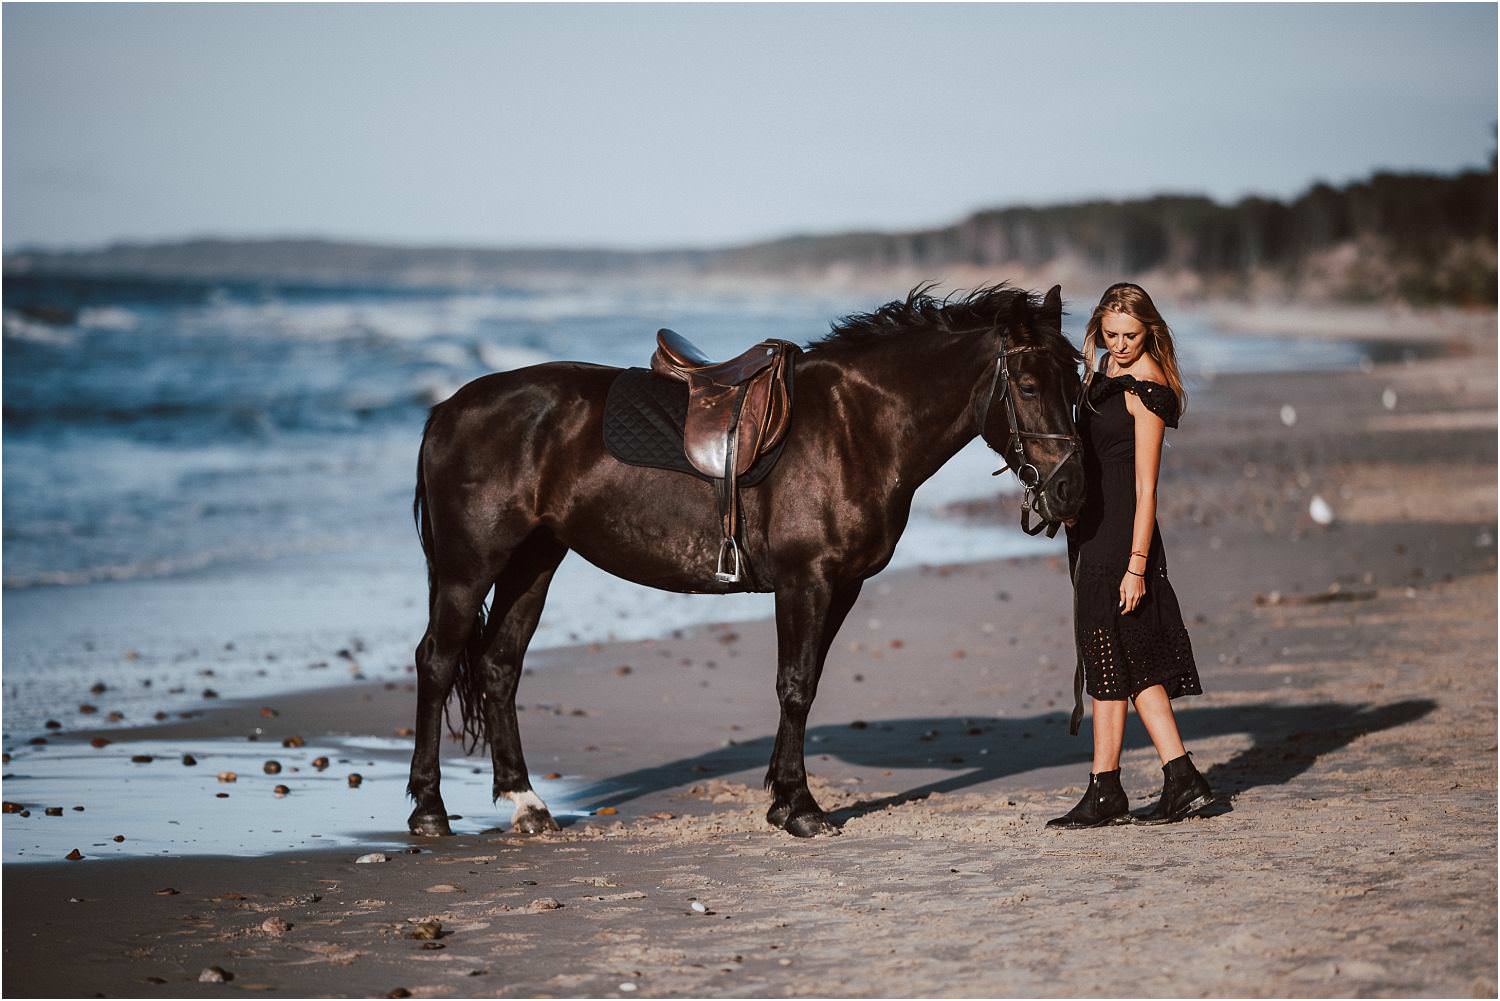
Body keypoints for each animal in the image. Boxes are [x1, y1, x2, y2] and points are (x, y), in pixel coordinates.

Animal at [408, 282, 1080, 840]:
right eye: (1028, 386)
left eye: (1076, 384)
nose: (1070, 490)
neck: (855, 427)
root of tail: (448, 410)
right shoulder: (806, 582)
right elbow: (795, 686)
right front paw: (800, 809)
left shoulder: (843, 587)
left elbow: (805, 685)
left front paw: (784, 801)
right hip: (469, 570)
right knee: (437, 662)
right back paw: (430, 810)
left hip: (534, 562)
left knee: (499, 667)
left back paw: (527, 804)